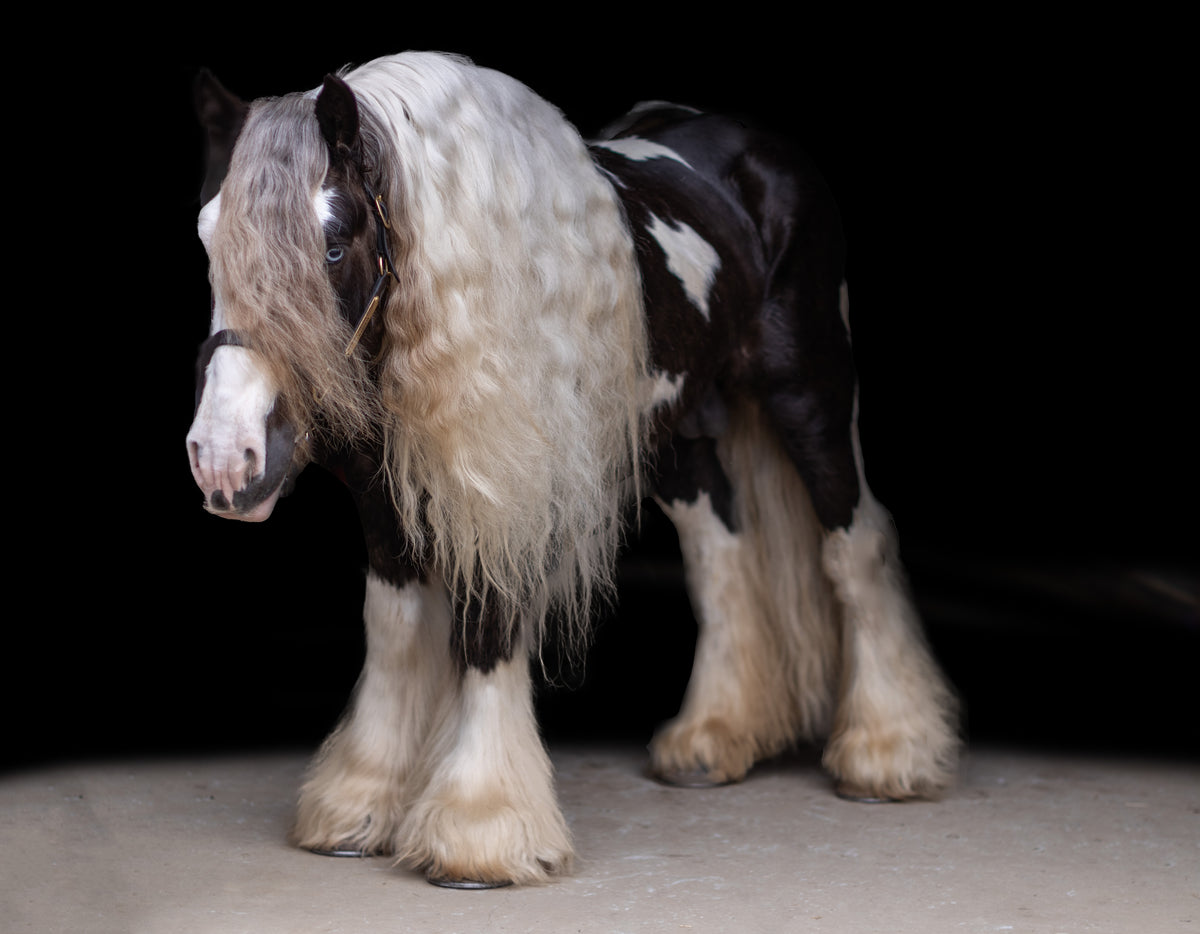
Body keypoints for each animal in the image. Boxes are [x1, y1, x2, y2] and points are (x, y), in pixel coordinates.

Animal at [186, 51, 959, 888]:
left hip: (809, 390)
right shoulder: (380, 494)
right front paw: (360, 801)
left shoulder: (510, 488)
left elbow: (486, 628)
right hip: (676, 431)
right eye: (209, 242)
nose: (224, 460)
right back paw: (712, 737)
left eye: (332, 244)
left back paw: (887, 751)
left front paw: (479, 830)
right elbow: (393, 630)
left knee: (855, 540)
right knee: (720, 551)